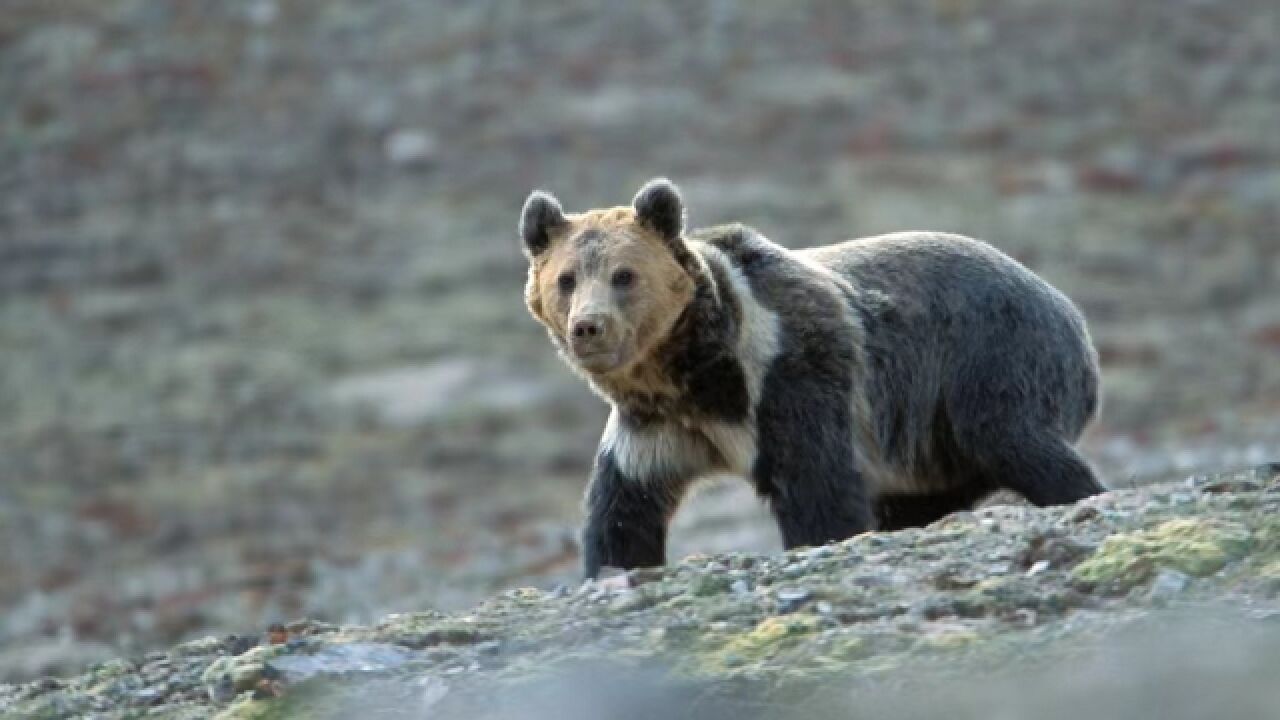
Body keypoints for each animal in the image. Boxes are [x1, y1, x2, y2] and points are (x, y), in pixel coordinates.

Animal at [519, 178, 1111, 576]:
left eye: (624, 275)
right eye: (567, 279)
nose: (588, 326)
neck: (702, 378)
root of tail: (1073, 315)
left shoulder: (792, 375)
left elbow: (819, 490)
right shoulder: (654, 429)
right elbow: (622, 509)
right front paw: (612, 566)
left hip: (988, 363)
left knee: (1016, 438)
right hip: (927, 450)